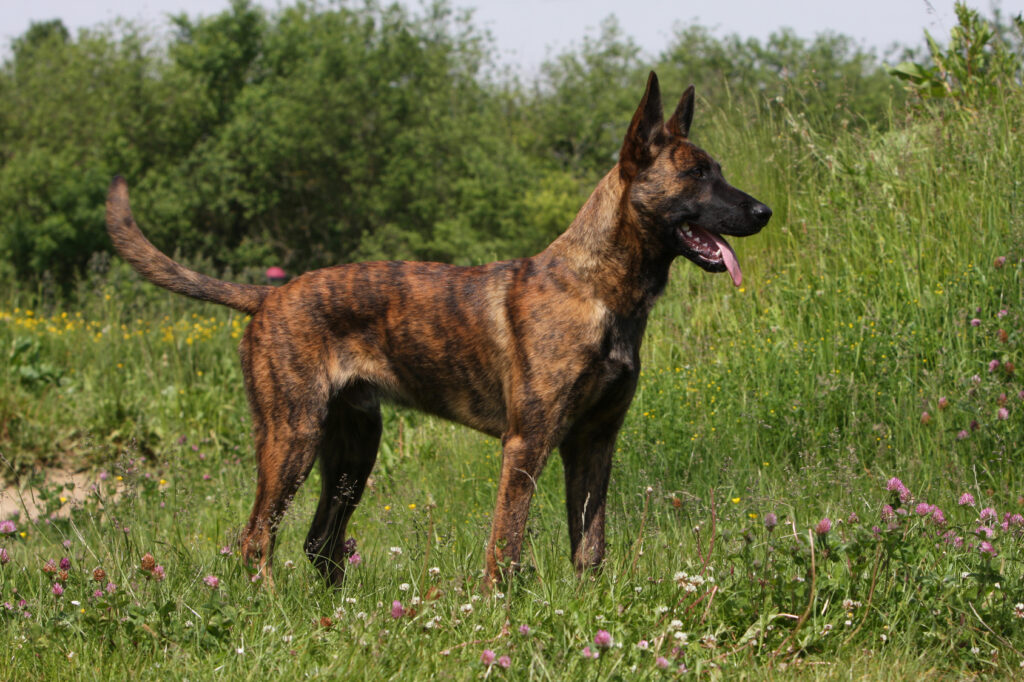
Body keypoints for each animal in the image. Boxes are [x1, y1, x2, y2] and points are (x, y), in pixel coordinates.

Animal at [108, 73, 770, 585]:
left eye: (718, 170)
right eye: (696, 174)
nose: (764, 211)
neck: (600, 290)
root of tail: (270, 295)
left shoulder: (594, 442)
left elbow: (590, 545)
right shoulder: (528, 444)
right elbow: (506, 546)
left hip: (353, 450)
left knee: (320, 544)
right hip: (291, 437)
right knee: (257, 540)